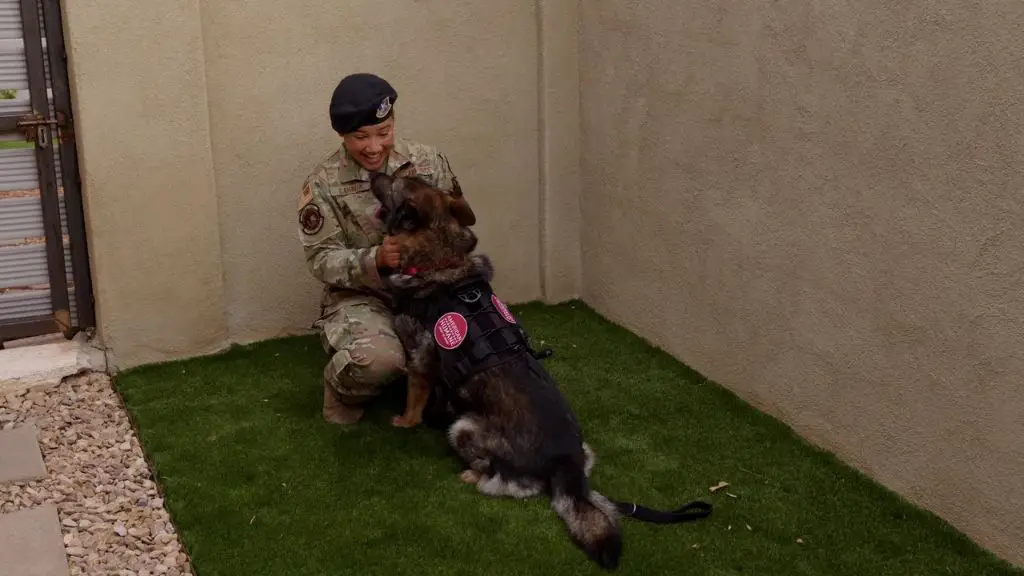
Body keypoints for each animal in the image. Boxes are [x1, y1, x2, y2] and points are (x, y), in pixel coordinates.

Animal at [370, 169, 622, 565]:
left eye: (396, 180)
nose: (376, 172)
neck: (439, 254)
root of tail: (564, 462)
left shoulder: (419, 359)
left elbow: (414, 397)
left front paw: (406, 421)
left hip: (464, 427)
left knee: (502, 481)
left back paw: (473, 477)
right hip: (582, 452)